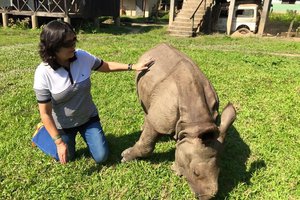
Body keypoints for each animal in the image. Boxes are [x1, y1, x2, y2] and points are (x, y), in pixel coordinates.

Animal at [120, 43, 236, 198]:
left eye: (219, 172)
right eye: (196, 173)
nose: (206, 198)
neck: (196, 124)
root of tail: (157, 46)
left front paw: (176, 168)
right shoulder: (160, 122)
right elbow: (147, 144)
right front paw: (125, 157)